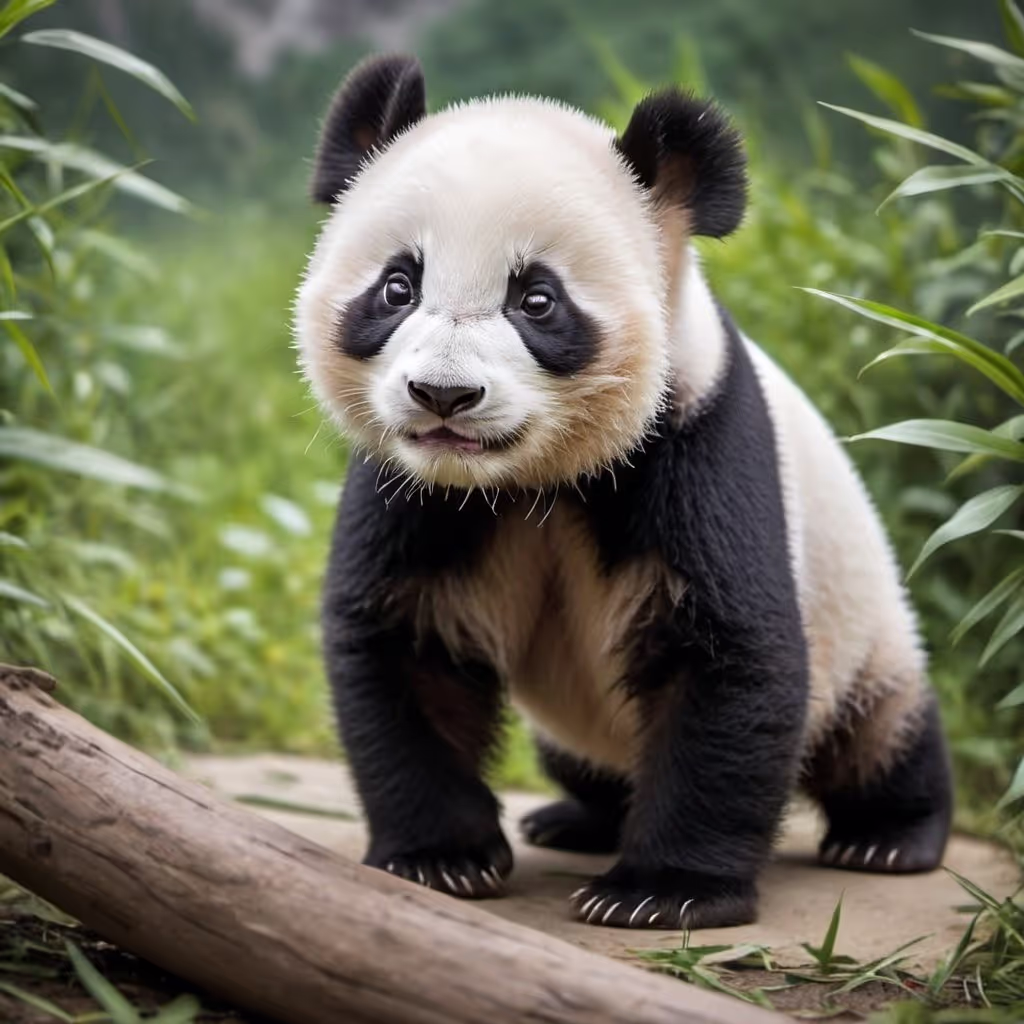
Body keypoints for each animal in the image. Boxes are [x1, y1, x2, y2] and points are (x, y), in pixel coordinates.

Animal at [293, 54, 953, 930]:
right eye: (398, 287)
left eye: (536, 299)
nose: (443, 395)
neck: (525, 481)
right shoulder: (416, 491)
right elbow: (406, 645)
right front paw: (443, 858)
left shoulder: (696, 438)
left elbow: (727, 655)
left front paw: (663, 892)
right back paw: (577, 817)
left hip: (862, 625)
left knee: (878, 730)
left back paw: (889, 836)